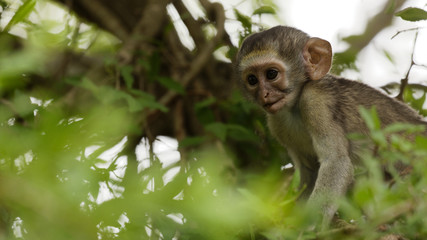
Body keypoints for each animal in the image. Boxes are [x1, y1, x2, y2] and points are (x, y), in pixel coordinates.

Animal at [236, 25, 426, 229]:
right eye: (252, 80)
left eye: (271, 74)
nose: (264, 94)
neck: (294, 106)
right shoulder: (277, 122)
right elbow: (309, 172)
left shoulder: (315, 100)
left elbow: (336, 162)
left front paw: (308, 228)